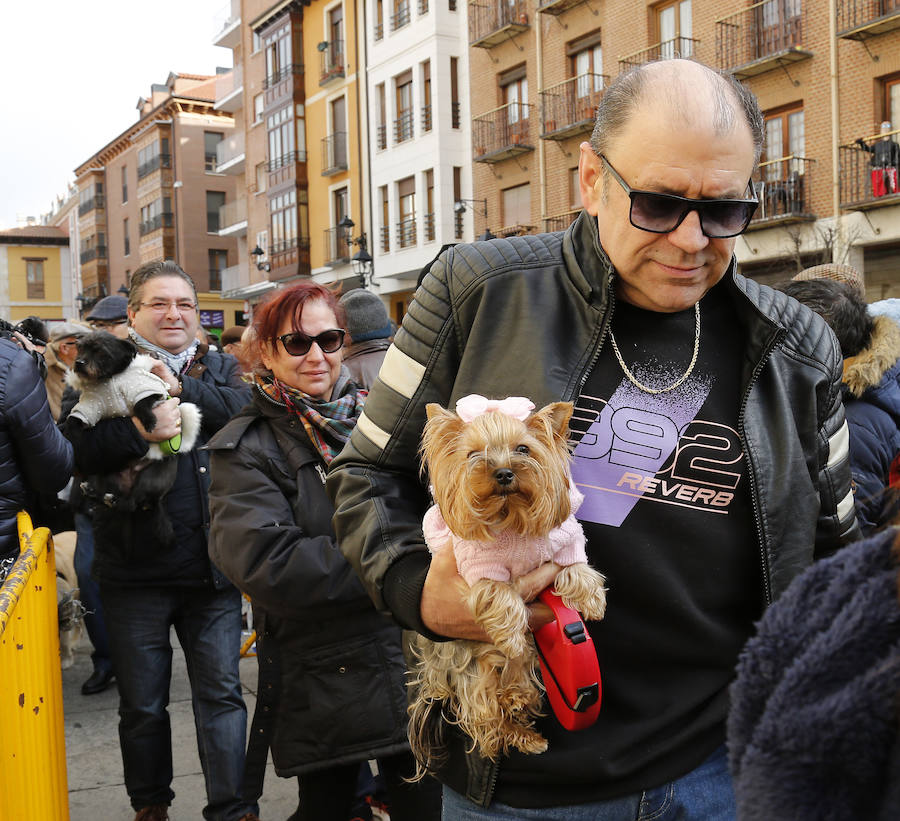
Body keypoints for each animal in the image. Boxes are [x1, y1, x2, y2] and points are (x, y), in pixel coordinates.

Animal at [410, 394, 608, 772]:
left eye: (523, 449)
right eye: (473, 454)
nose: (504, 472)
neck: (511, 516)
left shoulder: (564, 538)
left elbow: (576, 563)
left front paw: (591, 599)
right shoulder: (479, 565)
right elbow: (500, 594)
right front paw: (512, 635)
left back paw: (522, 714)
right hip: (472, 666)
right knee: (485, 713)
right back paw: (516, 722)